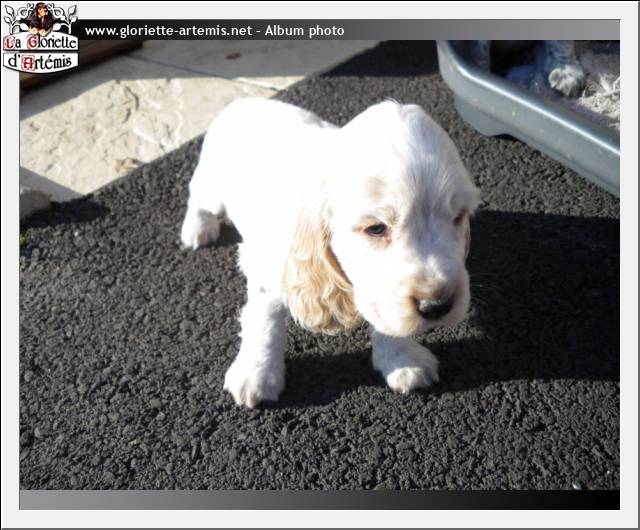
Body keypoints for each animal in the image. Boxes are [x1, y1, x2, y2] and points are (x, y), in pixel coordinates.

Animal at [181, 98, 480, 408]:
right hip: (212, 188)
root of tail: (241, 101)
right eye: (376, 228)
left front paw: (402, 359)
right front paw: (257, 373)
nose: (438, 306)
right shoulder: (267, 266)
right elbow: (264, 317)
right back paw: (197, 229)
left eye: (459, 217)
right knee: (195, 197)